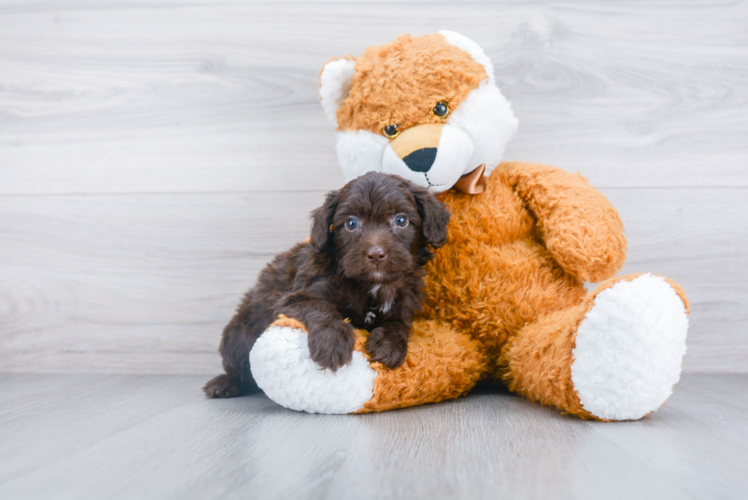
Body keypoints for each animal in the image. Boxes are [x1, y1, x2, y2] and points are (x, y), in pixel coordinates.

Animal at [205, 172, 450, 398]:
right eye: (351, 223)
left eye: (401, 220)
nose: (375, 254)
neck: (372, 285)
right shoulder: (294, 297)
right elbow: (320, 307)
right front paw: (332, 342)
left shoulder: (404, 302)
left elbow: (398, 323)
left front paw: (389, 344)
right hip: (238, 336)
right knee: (240, 366)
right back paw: (225, 384)